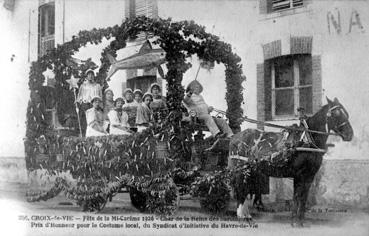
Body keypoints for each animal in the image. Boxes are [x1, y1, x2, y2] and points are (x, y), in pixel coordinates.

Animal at [229, 97, 352, 227]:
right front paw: (295, 221)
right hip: (240, 169)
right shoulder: (299, 174)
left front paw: (300, 220)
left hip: (250, 170)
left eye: (345, 113)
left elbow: (303, 198)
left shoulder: (309, 176)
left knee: (245, 189)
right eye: (336, 114)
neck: (307, 139)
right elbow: (297, 196)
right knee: (240, 189)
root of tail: (235, 137)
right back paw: (242, 216)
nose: (350, 134)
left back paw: (246, 214)